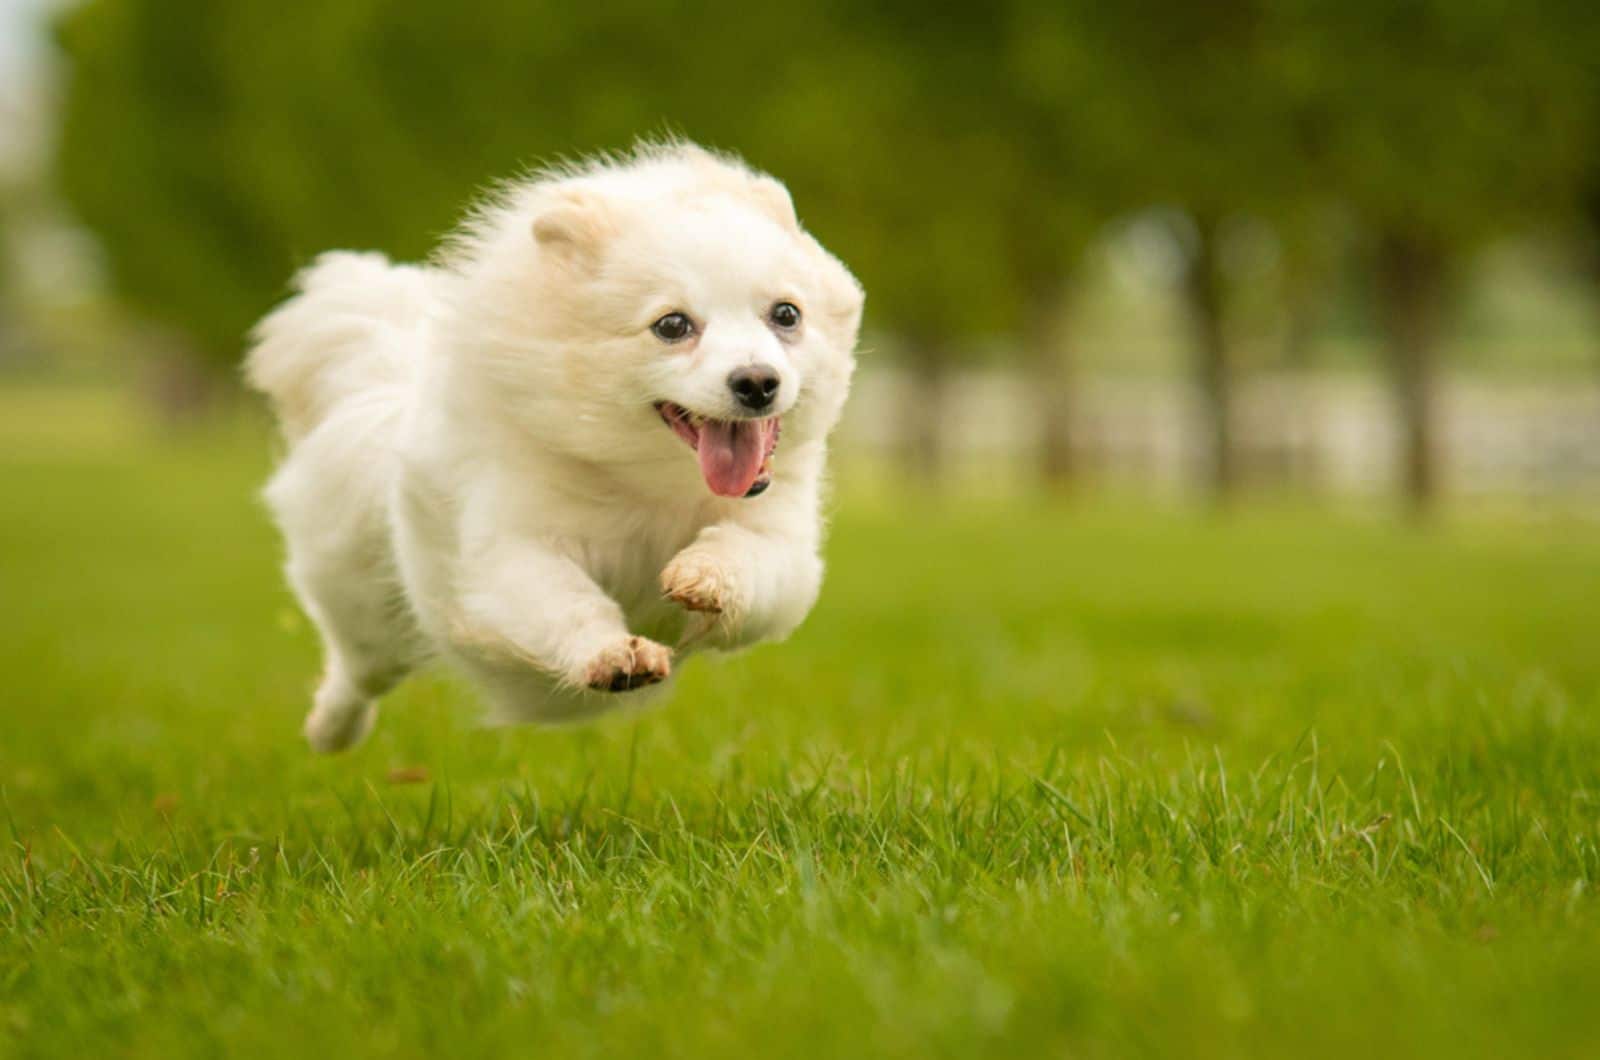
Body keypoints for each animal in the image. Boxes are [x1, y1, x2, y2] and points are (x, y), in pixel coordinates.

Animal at [246, 143, 864, 755]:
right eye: (672, 325)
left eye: (786, 314)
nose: (757, 382)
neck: (650, 483)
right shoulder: (510, 554)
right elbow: (566, 602)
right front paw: (614, 655)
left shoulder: (783, 549)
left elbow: (747, 560)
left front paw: (703, 575)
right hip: (368, 606)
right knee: (357, 669)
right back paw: (328, 729)